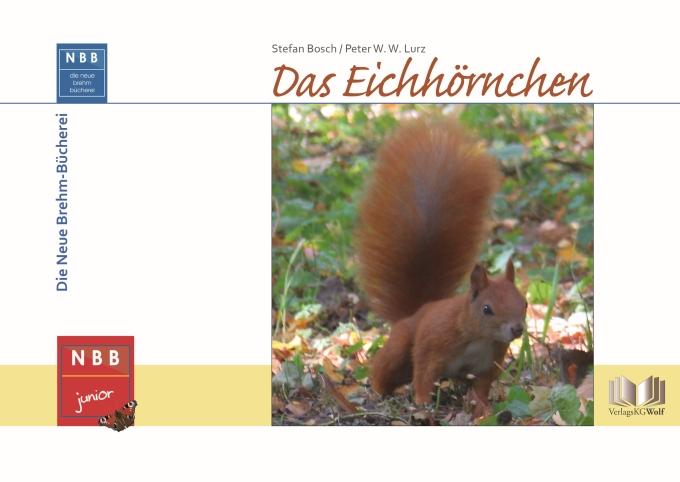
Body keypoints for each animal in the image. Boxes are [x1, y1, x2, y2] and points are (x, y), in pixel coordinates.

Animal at [355, 115, 527, 416]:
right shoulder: (432, 344)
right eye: (487, 309)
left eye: (525, 304)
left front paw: (483, 410)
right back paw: (378, 392)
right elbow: (424, 373)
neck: (478, 338)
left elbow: (482, 387)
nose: (517, 329)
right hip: (401, 346)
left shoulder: (489, 363)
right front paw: (423, 402)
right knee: (385, 369)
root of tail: (417, 311)